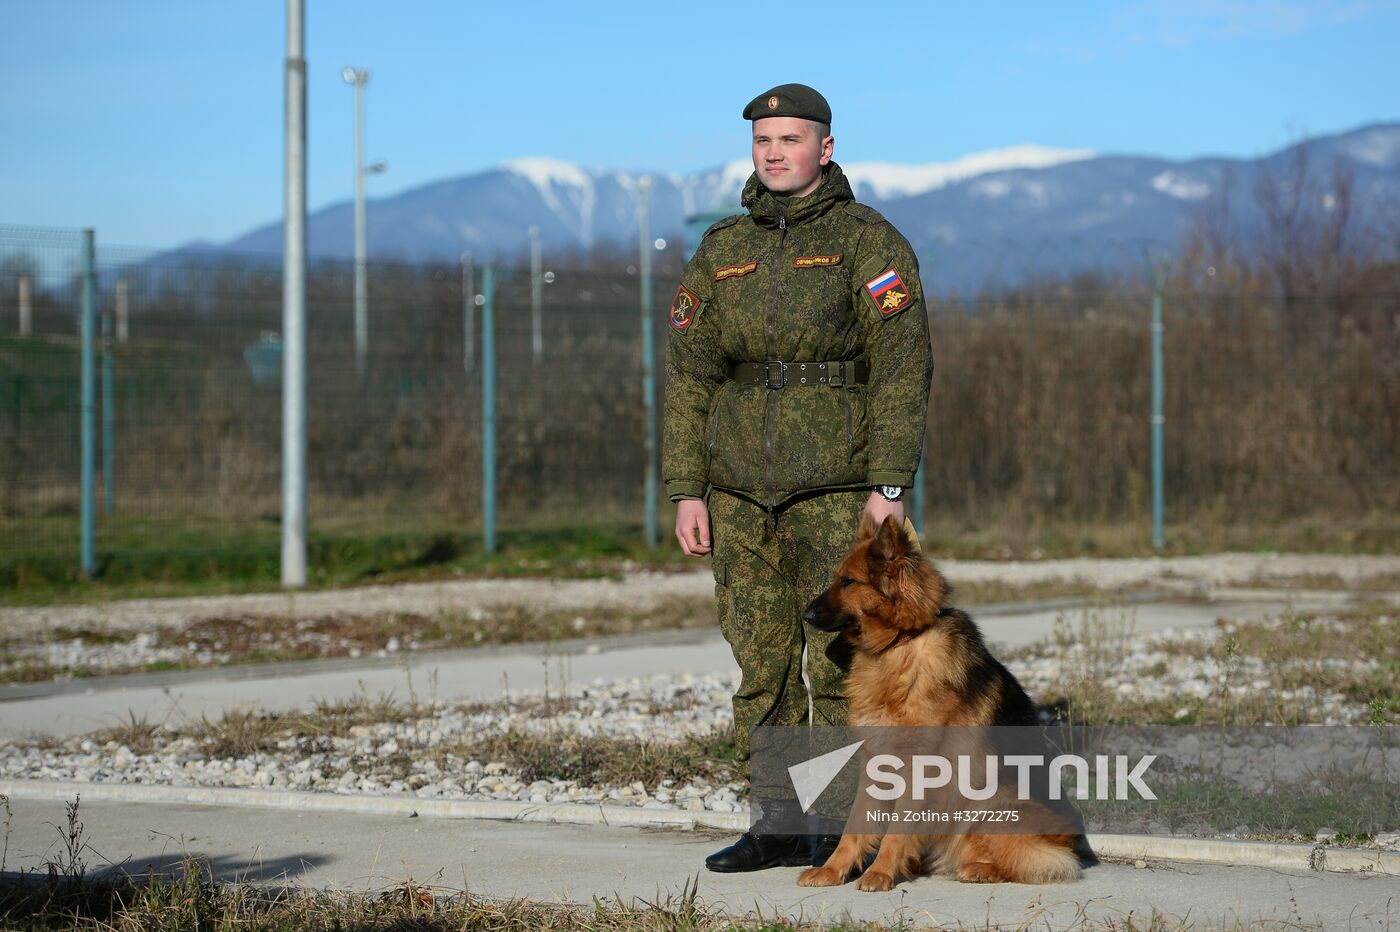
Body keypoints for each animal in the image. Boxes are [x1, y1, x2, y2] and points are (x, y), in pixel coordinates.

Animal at [800, 514, 1080, 884]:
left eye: (847, 582)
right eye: (838, 579)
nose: (804, 615)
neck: (901, 642)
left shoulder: (919, 769)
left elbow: (897, 829)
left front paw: (881, 873)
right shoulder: (876, 762)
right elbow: (855, 826)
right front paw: (833, 870)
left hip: (990, 803)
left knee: (1029, 862)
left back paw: (978, 869)